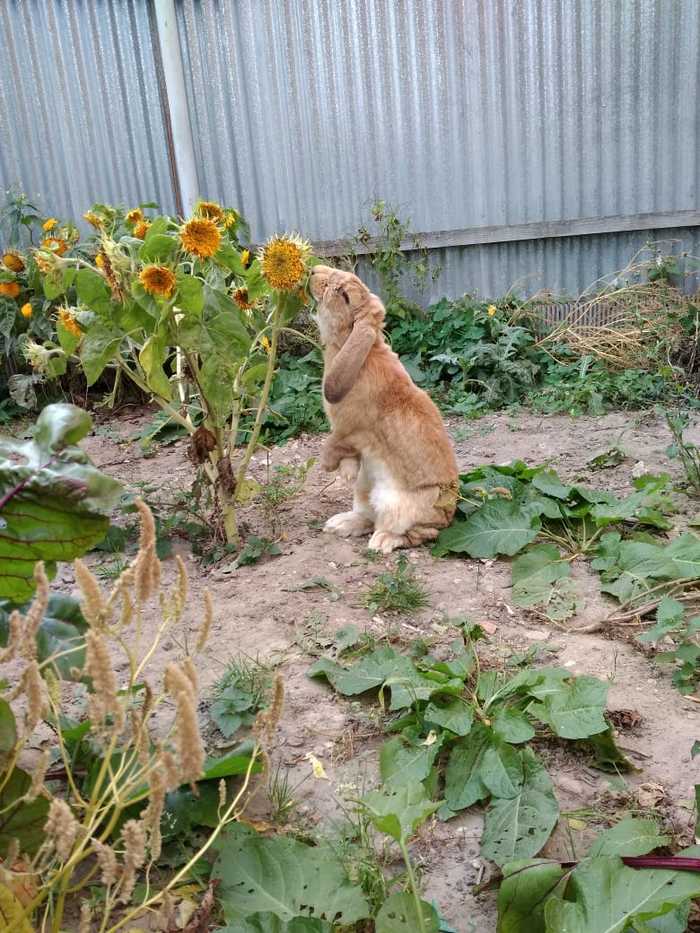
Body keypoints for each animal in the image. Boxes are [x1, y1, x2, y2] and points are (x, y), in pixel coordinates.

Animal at [308, 262, 456, 552]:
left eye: (343, 294)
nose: (313, 271)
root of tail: (449, 513)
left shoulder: (348, 430)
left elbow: (334, 444)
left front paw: (332, 468)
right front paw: (344, 472)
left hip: (398, 507)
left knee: (417, 533)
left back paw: (382, 541)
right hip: (365, 489)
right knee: (367, 517)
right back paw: (339, 524)